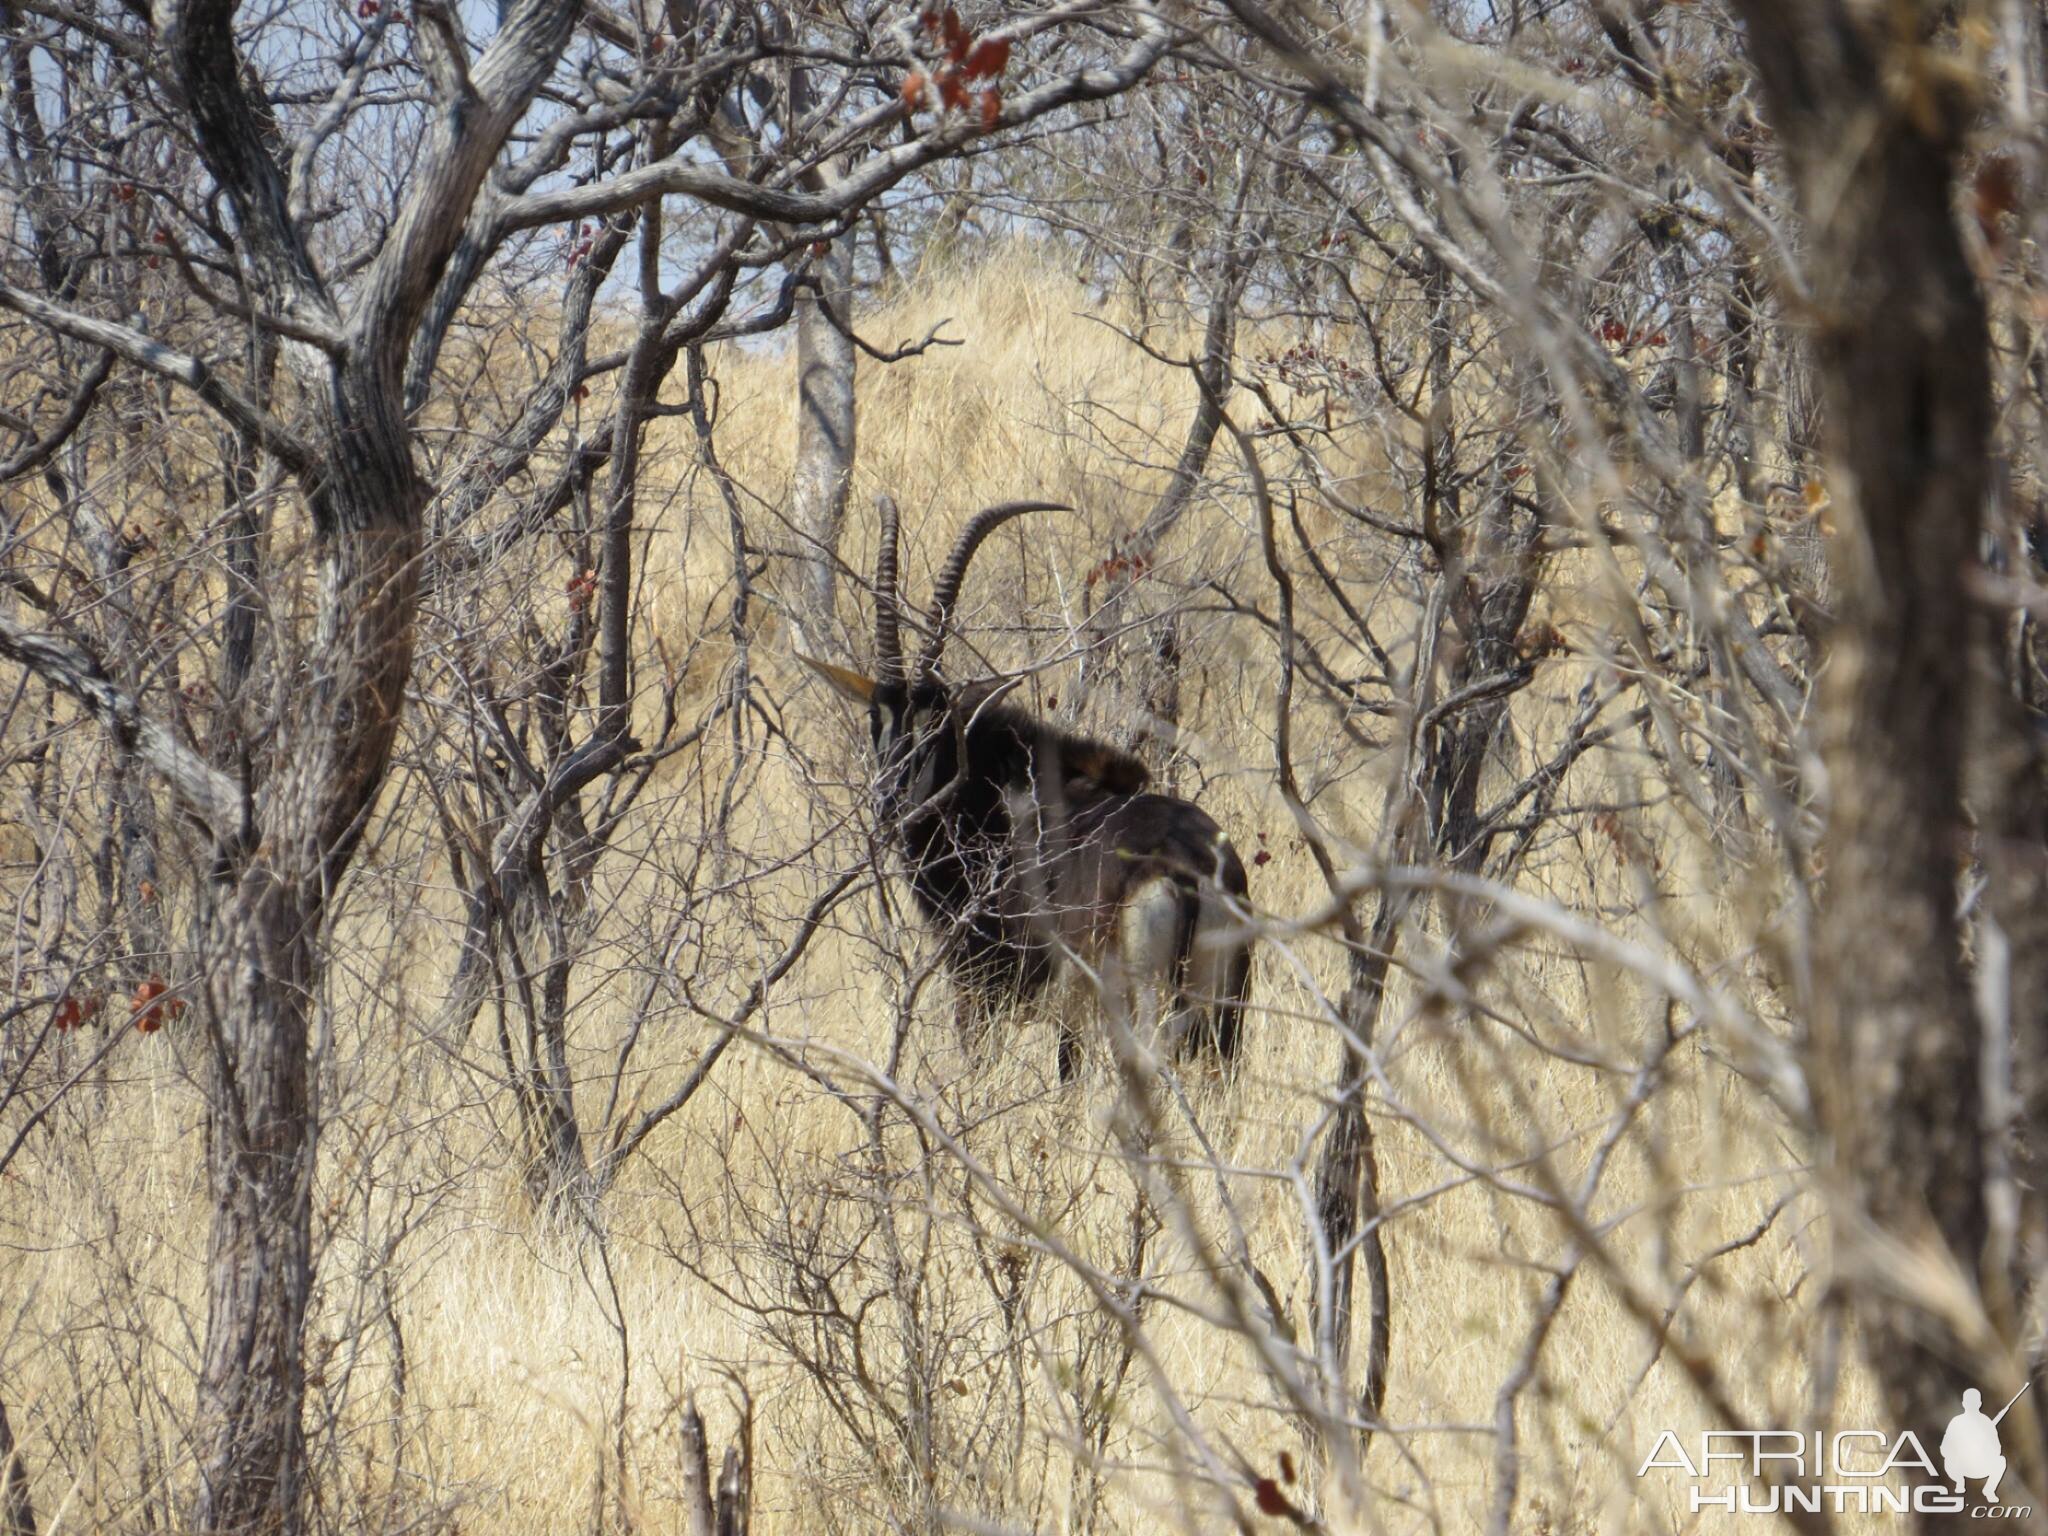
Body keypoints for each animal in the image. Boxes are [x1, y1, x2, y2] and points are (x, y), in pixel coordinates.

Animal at [794, 499, 1245, 1073]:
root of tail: (1187, 869)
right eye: (877, 718)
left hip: (1138, 1008)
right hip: (1224, 1018)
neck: (998, 804)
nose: (889, 801)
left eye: (938, 725)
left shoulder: (985, 988)